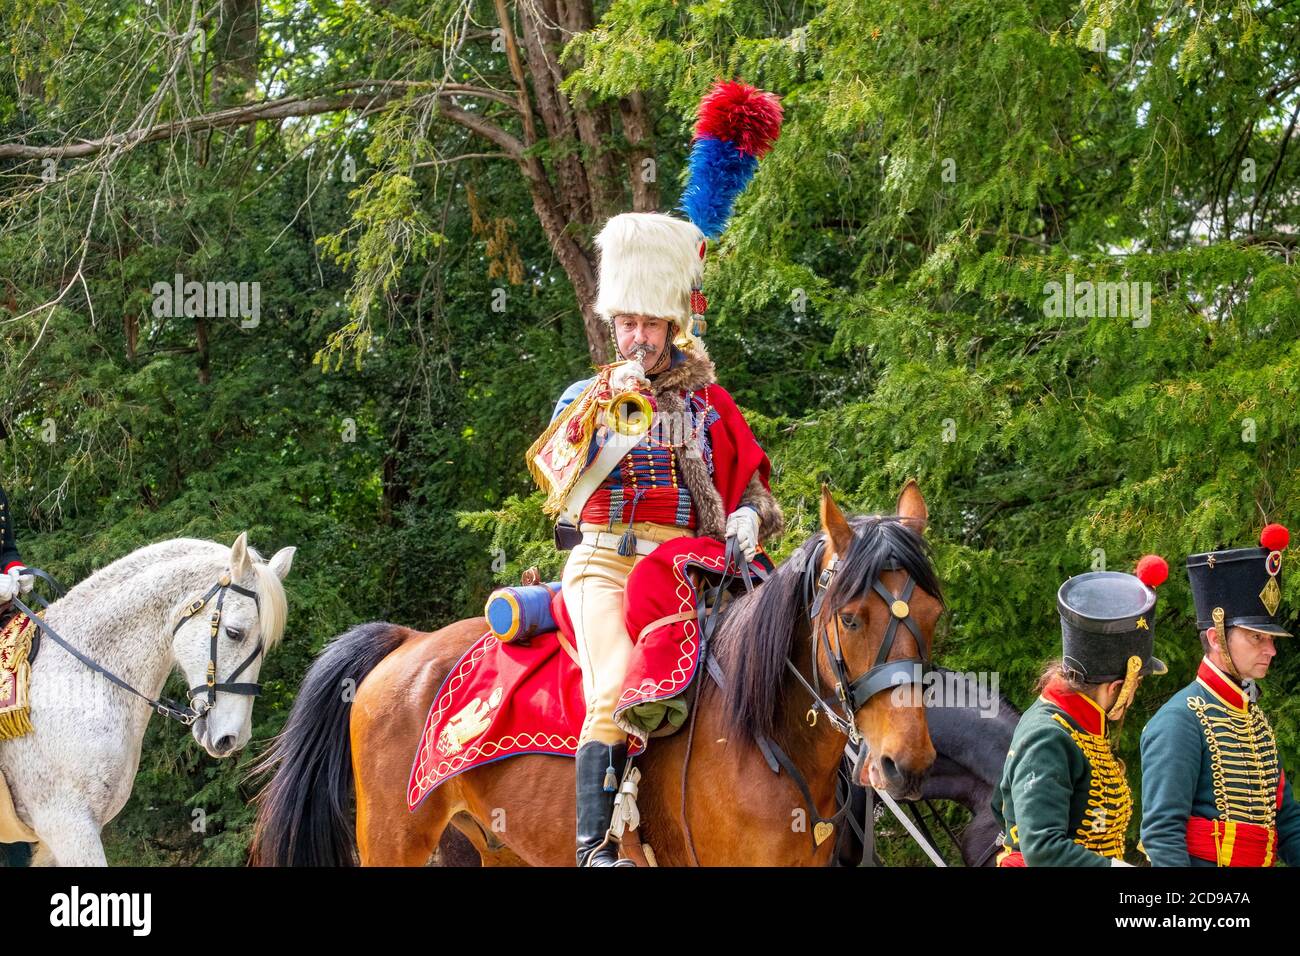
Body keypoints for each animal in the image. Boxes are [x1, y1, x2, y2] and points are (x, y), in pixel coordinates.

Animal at [253, 486, 946, 868]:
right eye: (851, 618)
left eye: (933, 614)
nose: (904, 765)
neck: (762, 732)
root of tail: (409, 641)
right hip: (393, 842)